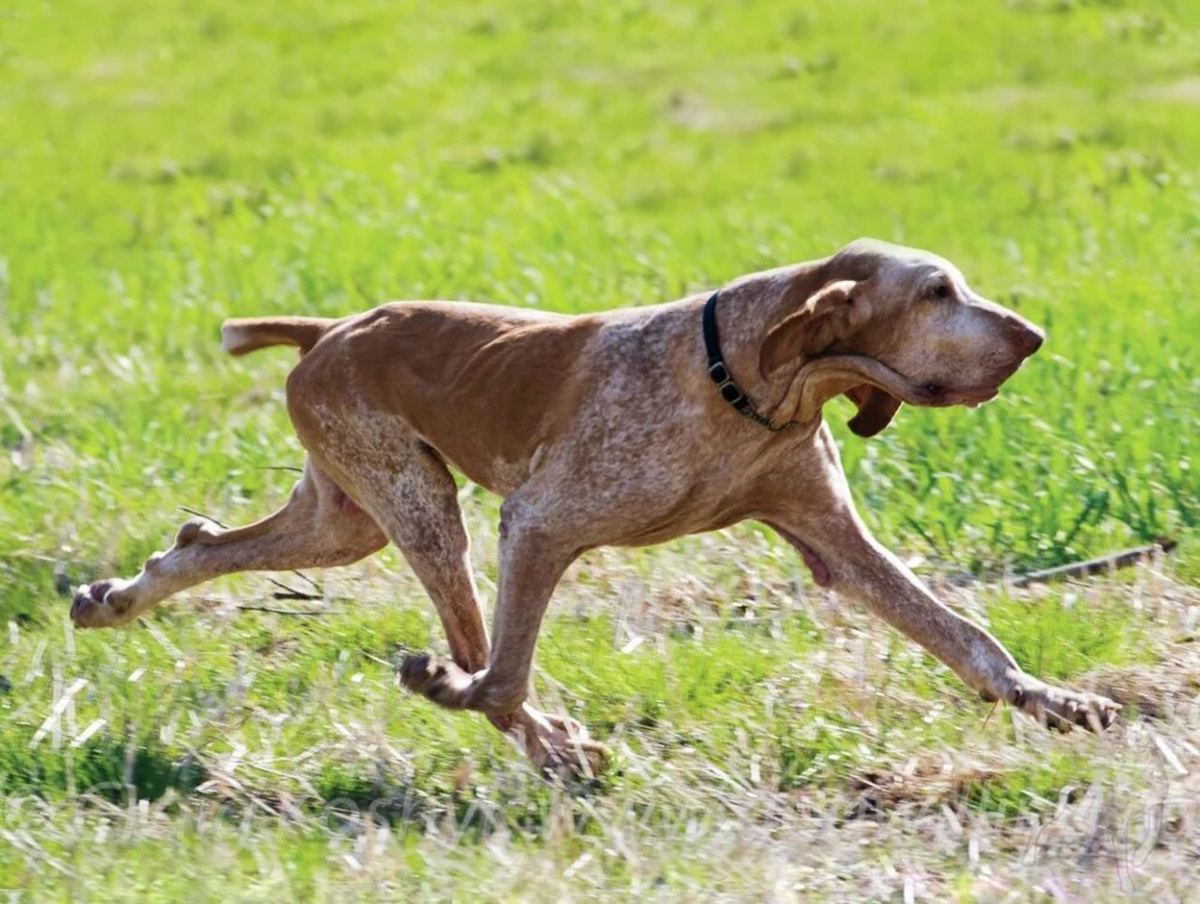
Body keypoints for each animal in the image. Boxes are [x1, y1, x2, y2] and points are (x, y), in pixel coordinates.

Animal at [70, 241, 1118, 777]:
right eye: (938, 291)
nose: (1032, 335)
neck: (740, 379)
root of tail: (331, 328)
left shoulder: (835, 541)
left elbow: (968, 638)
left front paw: (1053, 700)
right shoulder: (537, 525)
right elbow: (497, 676)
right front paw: (480, 706)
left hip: (347, 520)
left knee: (202, 545)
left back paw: (115, 598)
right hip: (421, 510)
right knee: (475, 650)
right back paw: (539, 740)